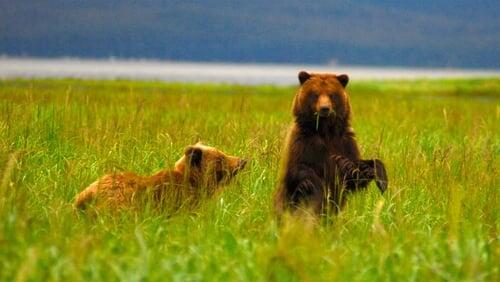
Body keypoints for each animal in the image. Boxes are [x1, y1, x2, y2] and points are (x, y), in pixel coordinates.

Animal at [274, 71, 386, 217]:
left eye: (332, 94)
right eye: (315, 94)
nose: (325, 108)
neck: (325, 131)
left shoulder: (345, 142)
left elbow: (356, 177)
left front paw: (373, 174)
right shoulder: (301, 141)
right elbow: (297, 170)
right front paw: (315, 184)